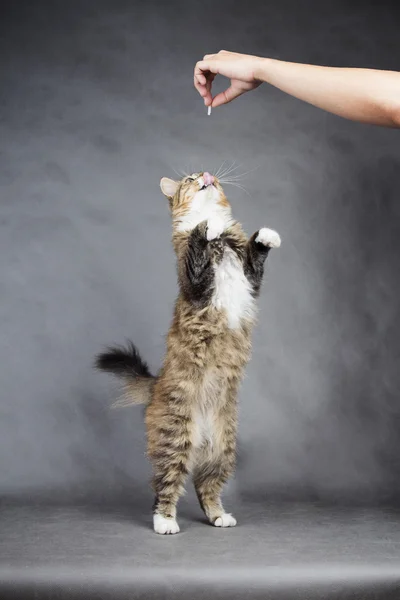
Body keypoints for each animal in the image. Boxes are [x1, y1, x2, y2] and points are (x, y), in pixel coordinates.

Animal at [95, 171, 282, 536]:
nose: (207, 176)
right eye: (190, 179)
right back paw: (165, 522)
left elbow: (256, 257)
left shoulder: (249, 280)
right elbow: (198, 241)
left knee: (204, 486)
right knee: (165, 486)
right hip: (176, 439)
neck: (221, 242)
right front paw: (206, 227)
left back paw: (219, 516)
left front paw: (266, 236)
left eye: (207, 176)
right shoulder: (195, 283)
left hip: (223, 450)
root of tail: (154, 386)